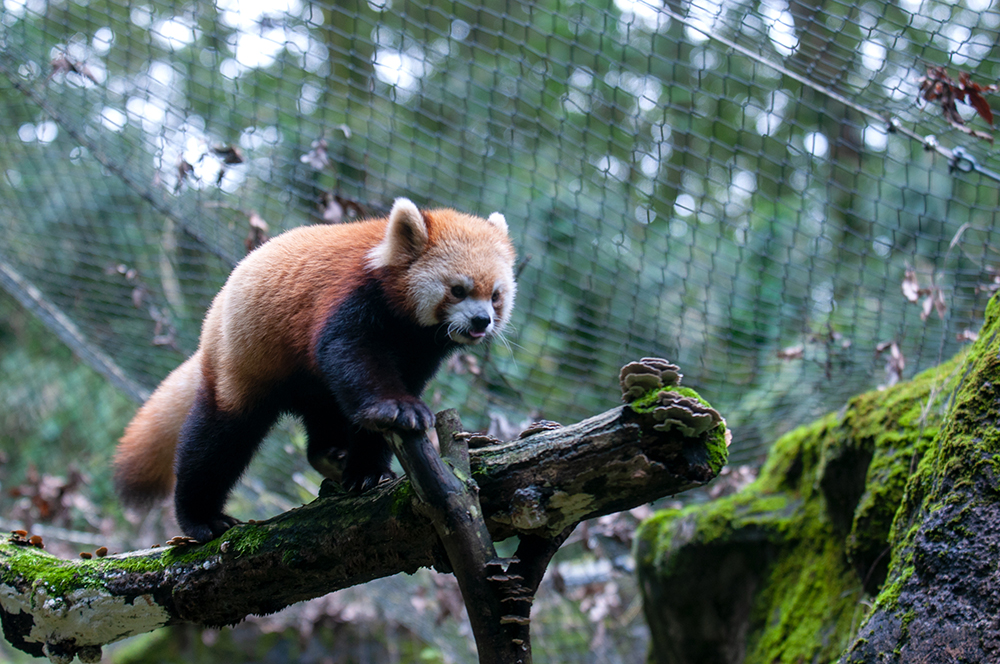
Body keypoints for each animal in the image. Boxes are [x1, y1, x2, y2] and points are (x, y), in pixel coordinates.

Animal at [115, 200, 516, 544]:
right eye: (458, 290)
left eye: (495, 296)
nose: (482, 321)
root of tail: (209, 330)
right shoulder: (349, 300)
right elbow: (352, 357)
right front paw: (398, 408)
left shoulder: (420, 351)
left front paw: (368, 470)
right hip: (241, 362)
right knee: (217, 438)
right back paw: (202, 518)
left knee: (327, 415)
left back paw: (331, 455)